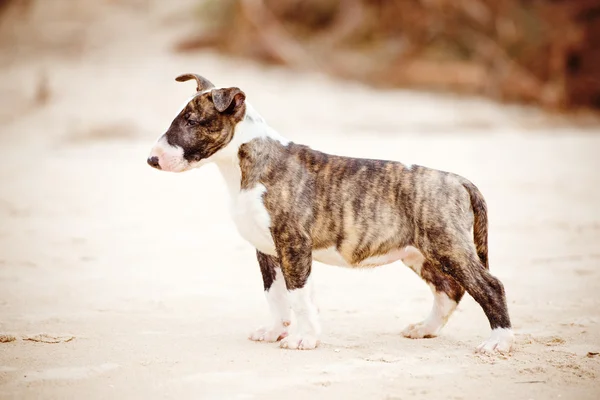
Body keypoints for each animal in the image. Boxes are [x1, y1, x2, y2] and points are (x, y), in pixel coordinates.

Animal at [146, 73, 516, 354]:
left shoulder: (294, 245)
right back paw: (425, 328)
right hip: (418, 252)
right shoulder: (268, 251)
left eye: (192, 121)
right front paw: (275, 331)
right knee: (448, 289)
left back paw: (498, 341)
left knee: (489, 285)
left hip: (447, 245)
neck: (247, 164)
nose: (151, 159)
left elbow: (299, 296)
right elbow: (275, 296)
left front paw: (304, 339)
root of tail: (459, 180)